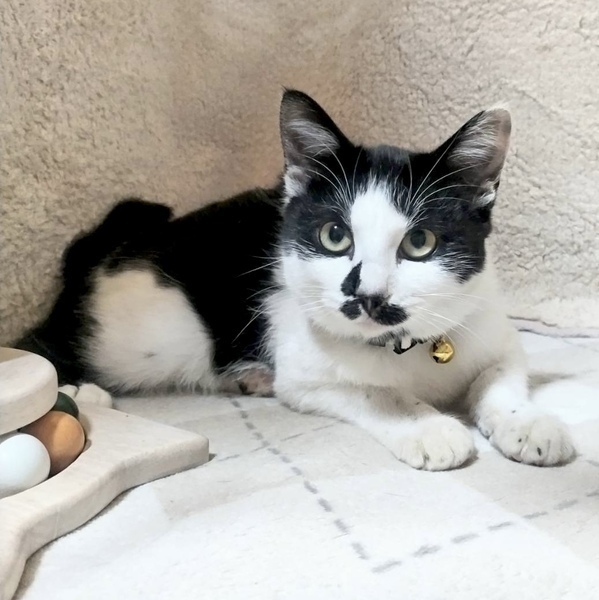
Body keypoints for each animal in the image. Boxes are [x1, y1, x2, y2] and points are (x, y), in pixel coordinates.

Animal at [16, 90, 574, 470]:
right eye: (334, 236)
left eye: (420, 243)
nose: (367, 296)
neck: (406, 348)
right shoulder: (305, 372)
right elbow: (373, 392)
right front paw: (427, 426)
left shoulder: (491, 326)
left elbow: (500, 377)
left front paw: (527, 422)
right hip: (145, 333)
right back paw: (80, 388)